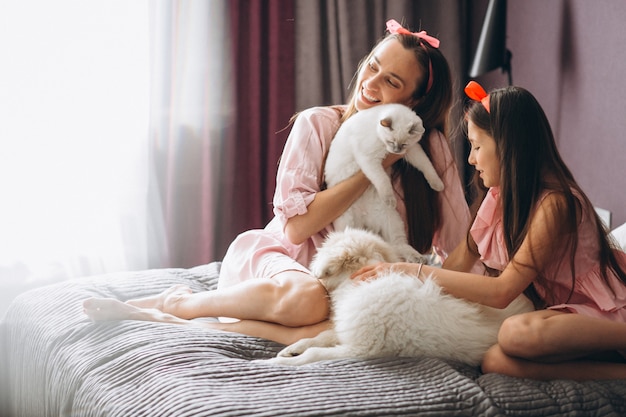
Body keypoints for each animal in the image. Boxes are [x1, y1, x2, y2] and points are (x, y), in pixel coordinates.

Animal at [260, 226, 532, 366]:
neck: (360, 283)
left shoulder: (362, 349)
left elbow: (315, 354)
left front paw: (272, 364)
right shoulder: (351, 330)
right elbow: (319, 336)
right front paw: (292, 349)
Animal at [324, 103, 442, 262]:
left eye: (404, 144)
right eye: (391, 142)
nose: (396, 150)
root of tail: (367, 222)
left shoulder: (412, 151)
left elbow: (427, 167)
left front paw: (438, 185)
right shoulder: (370, 160)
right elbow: (382, 180)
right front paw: (389, 198)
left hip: (392, 221)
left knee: (398, 245)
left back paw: (417, 258)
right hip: (348, 223)